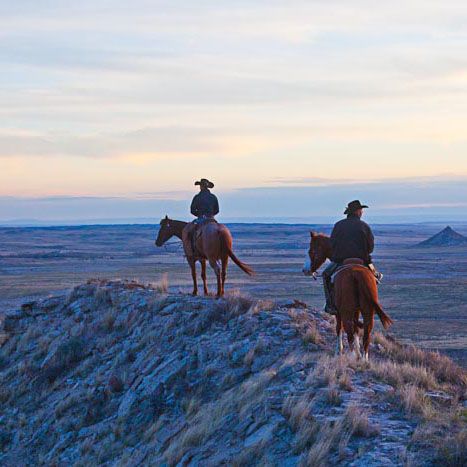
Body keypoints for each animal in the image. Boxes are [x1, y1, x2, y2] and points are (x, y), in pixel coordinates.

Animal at [306, 231, 394, 362]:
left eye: (311, 251)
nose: (306, 270)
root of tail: (356, 274)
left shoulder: (338, 312)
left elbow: (339, 328)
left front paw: (339, 351)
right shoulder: (356, 310)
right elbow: (356, 329)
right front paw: (358, 354)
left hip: (346, 311)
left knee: (348, 331)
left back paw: (351, 357)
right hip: (367, 310)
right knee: (366, 334)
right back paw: (364, 359)